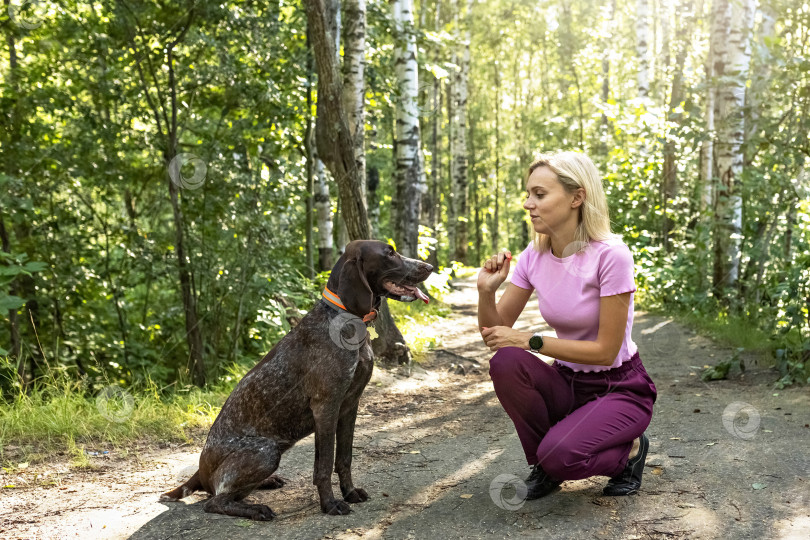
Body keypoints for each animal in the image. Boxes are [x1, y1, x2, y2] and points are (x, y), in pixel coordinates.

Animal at [160, 239, 432, 520]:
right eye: (390, 253)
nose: (430, 266)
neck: (345, 320)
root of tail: (199, 472)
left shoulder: (349, 405)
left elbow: (343, 458)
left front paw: (349, 492)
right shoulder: (326, 406)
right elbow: (324, 465)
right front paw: (330, 504)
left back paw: (267, 483)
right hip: (266, 452)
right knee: (215, 500)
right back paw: (256, 509)